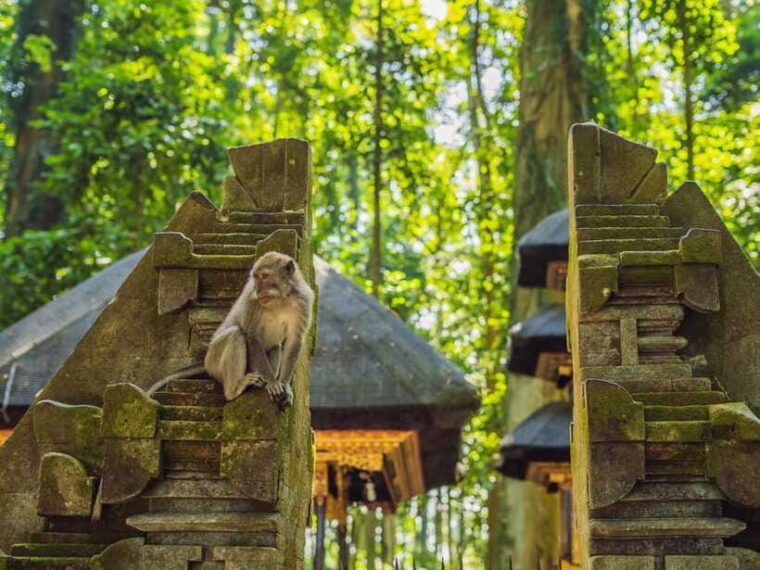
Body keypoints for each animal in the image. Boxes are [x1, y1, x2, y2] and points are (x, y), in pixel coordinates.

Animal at [147, 251, 314, 408]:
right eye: (256, 278)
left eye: (265, 276)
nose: (257, 289)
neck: (280, 299)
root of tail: (206, 361)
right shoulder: (252, 301)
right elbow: (252, 337)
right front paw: (273, 382)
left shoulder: (303, 302)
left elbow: (294, 341)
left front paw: (284, 384)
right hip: (214, 361)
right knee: (235, 334)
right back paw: (234, 390)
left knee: (274, 347)